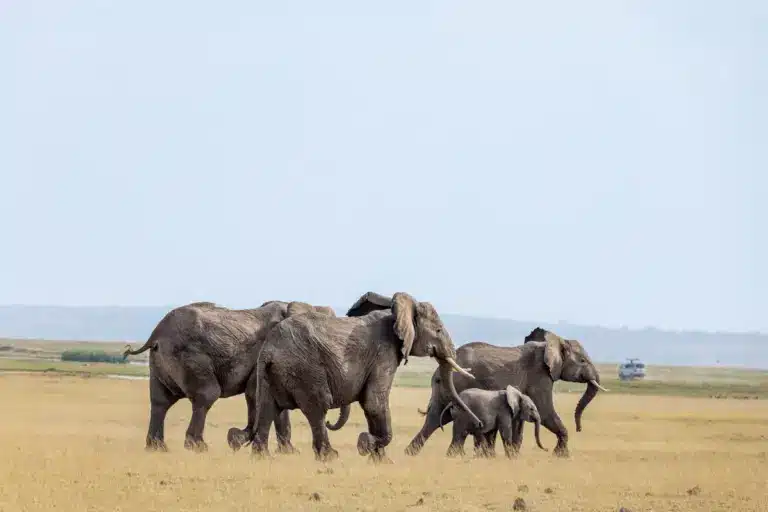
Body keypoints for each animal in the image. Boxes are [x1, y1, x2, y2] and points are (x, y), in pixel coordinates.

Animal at [123, 300, 337, 452]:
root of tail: (155, 335)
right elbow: (255, 393)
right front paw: (238, 440)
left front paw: (288, 452)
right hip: (190, 358)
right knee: (206, 395)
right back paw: (197, 447)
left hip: (160, 362)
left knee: (161, 401)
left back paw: (157, 448)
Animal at [236, 291, 483, 462]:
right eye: (439, 329)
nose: (479, 424)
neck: (396, 312)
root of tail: (268, 350)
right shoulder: (384, 353)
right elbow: (374, 401)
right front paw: (366, 444)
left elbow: (371, 404)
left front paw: (381, 460)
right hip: (304, 370)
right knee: (317, 407)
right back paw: (330, 456)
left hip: (270, 374)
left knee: (268, 408)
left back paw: (261, 457)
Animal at [404, 326, 608, 458]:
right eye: (583, 361)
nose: (579, 428)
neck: (553, 342)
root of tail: (439, 371)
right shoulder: (539, 376)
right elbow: (545, 411)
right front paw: (561, 455)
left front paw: (515, 454)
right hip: (459, 384)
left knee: (434, 418)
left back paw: (410, 453)